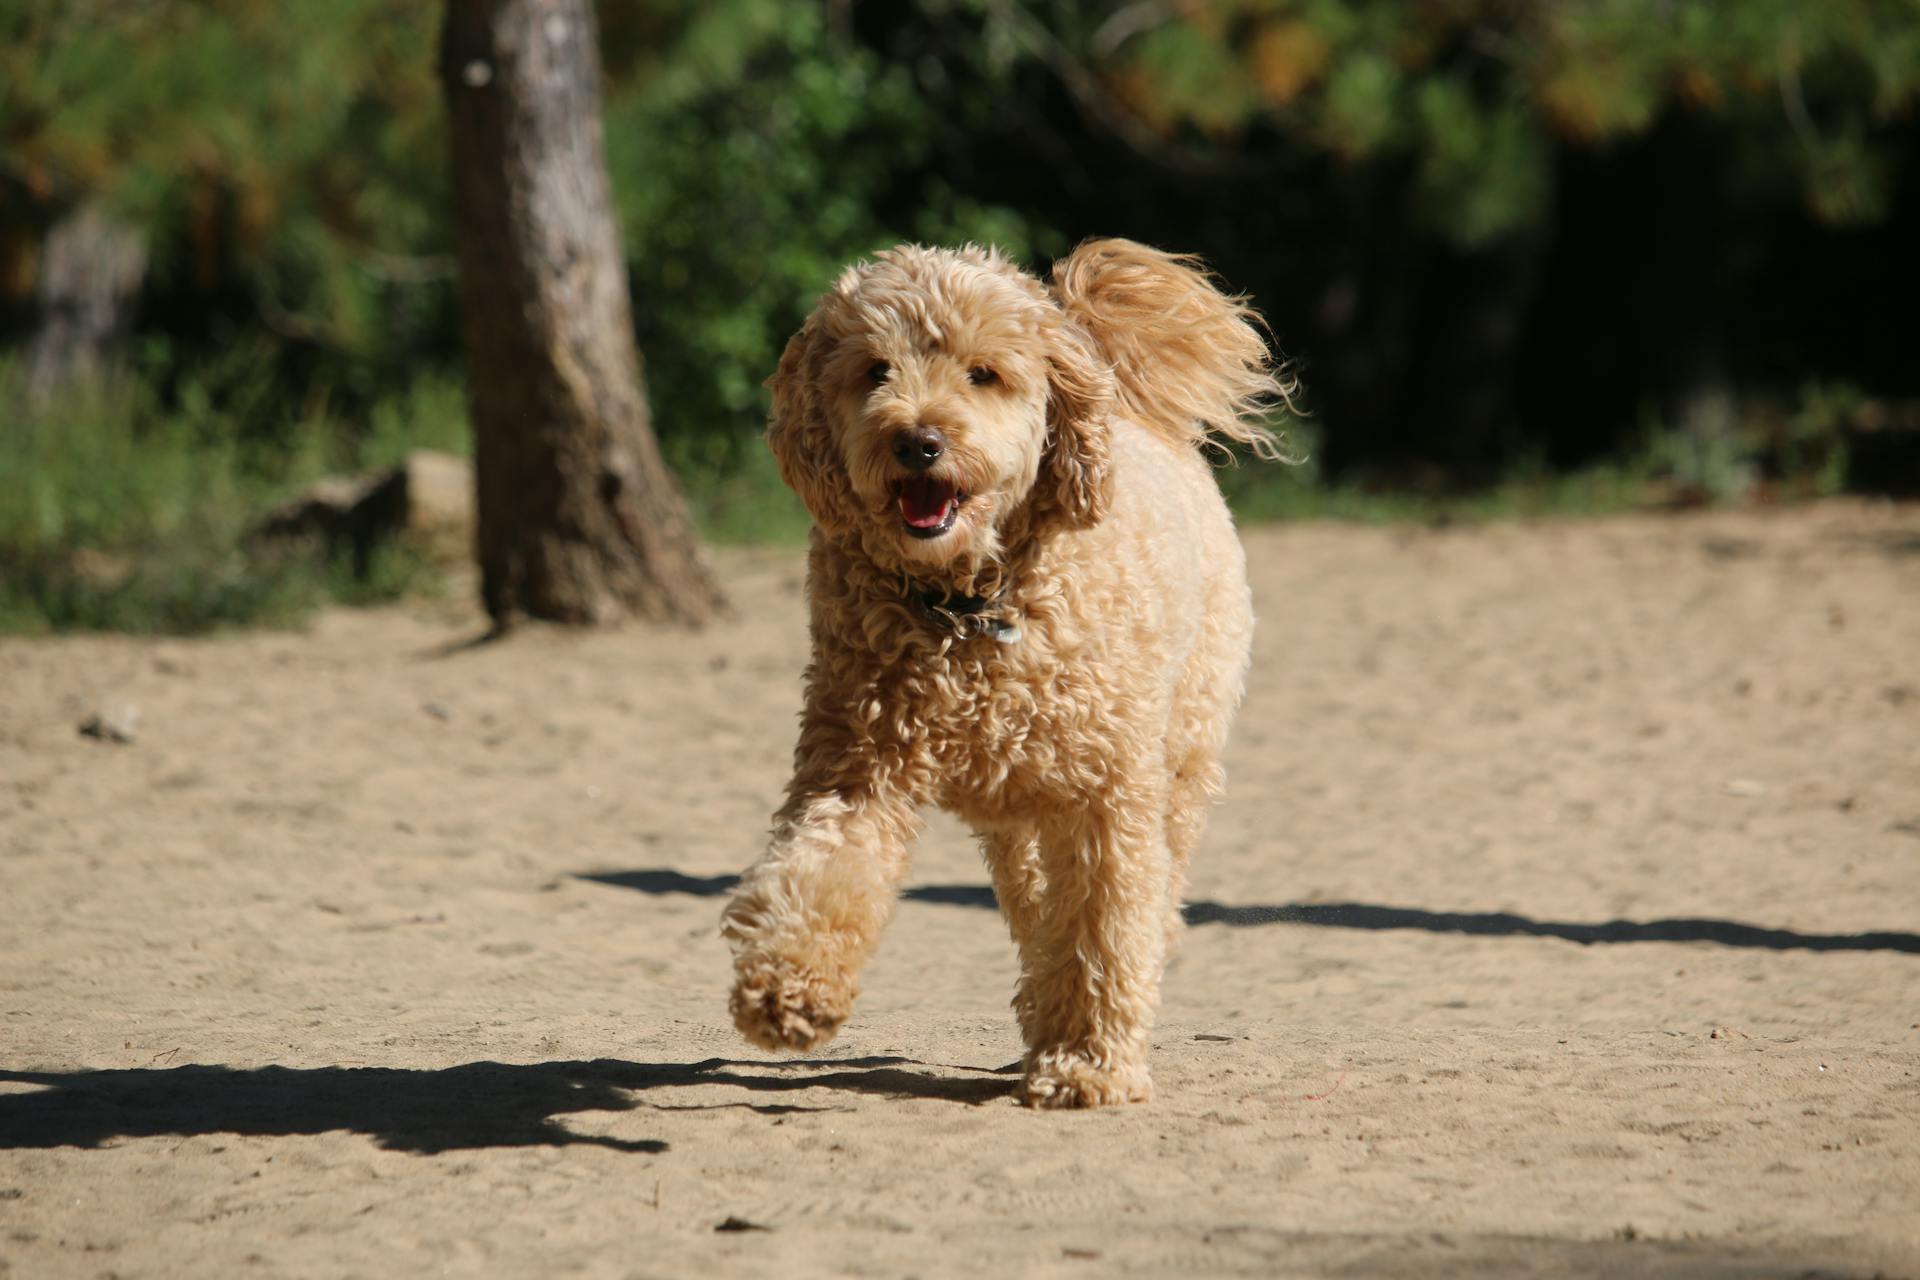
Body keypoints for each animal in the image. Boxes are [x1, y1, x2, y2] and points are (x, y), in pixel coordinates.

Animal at [721, 239, 1290, 1113]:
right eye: (875, 370)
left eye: (983, 373)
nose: (917, 440)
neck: (968, 606)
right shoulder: (856, 765)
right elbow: (822, 868)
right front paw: (788, 986)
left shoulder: (1107, 794)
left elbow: (1107, 920)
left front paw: (1091, 1062)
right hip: (1015, 814)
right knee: (1037, 910)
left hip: (1181, 754)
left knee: (1149, 890)